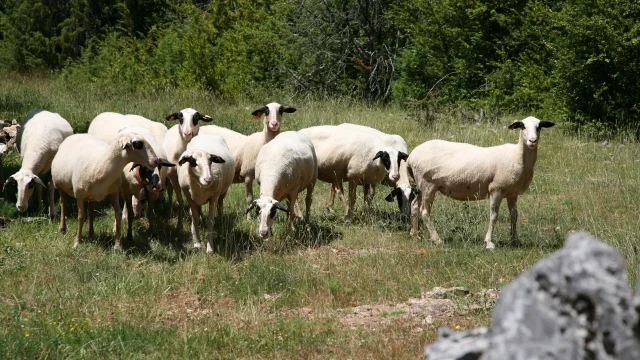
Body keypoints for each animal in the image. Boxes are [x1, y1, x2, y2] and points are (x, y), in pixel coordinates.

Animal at [410, 116, 556, 249]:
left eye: (539, 127)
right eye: (523, 126)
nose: (532, 141)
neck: (517, 156)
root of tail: (411, 157)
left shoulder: (512, 194)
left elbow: (514, 216)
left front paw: (515, 240)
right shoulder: (496, 189)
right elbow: (494, 216)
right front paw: (489, 242)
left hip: (421, 186)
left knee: (414, 206)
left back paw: (415, 235)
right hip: (428, 184)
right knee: (424, 211)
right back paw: (437, 239)